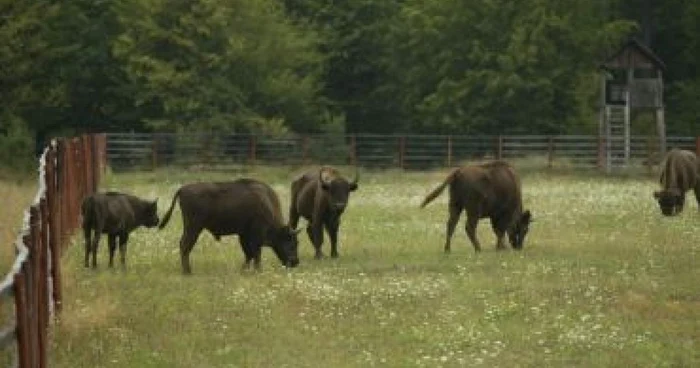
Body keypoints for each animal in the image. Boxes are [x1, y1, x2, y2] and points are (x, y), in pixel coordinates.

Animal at [157, 178, 300, 274]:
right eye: (291, 243)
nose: (295, 262)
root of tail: (182, 189)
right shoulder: (254, 236)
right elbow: (256, 253)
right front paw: (258, 270)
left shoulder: (243, 235)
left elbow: (248, 254)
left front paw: (244, 270)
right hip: (193, 228)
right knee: (185, 245)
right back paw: (188, 271)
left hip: (191, 228)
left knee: (184, 245)